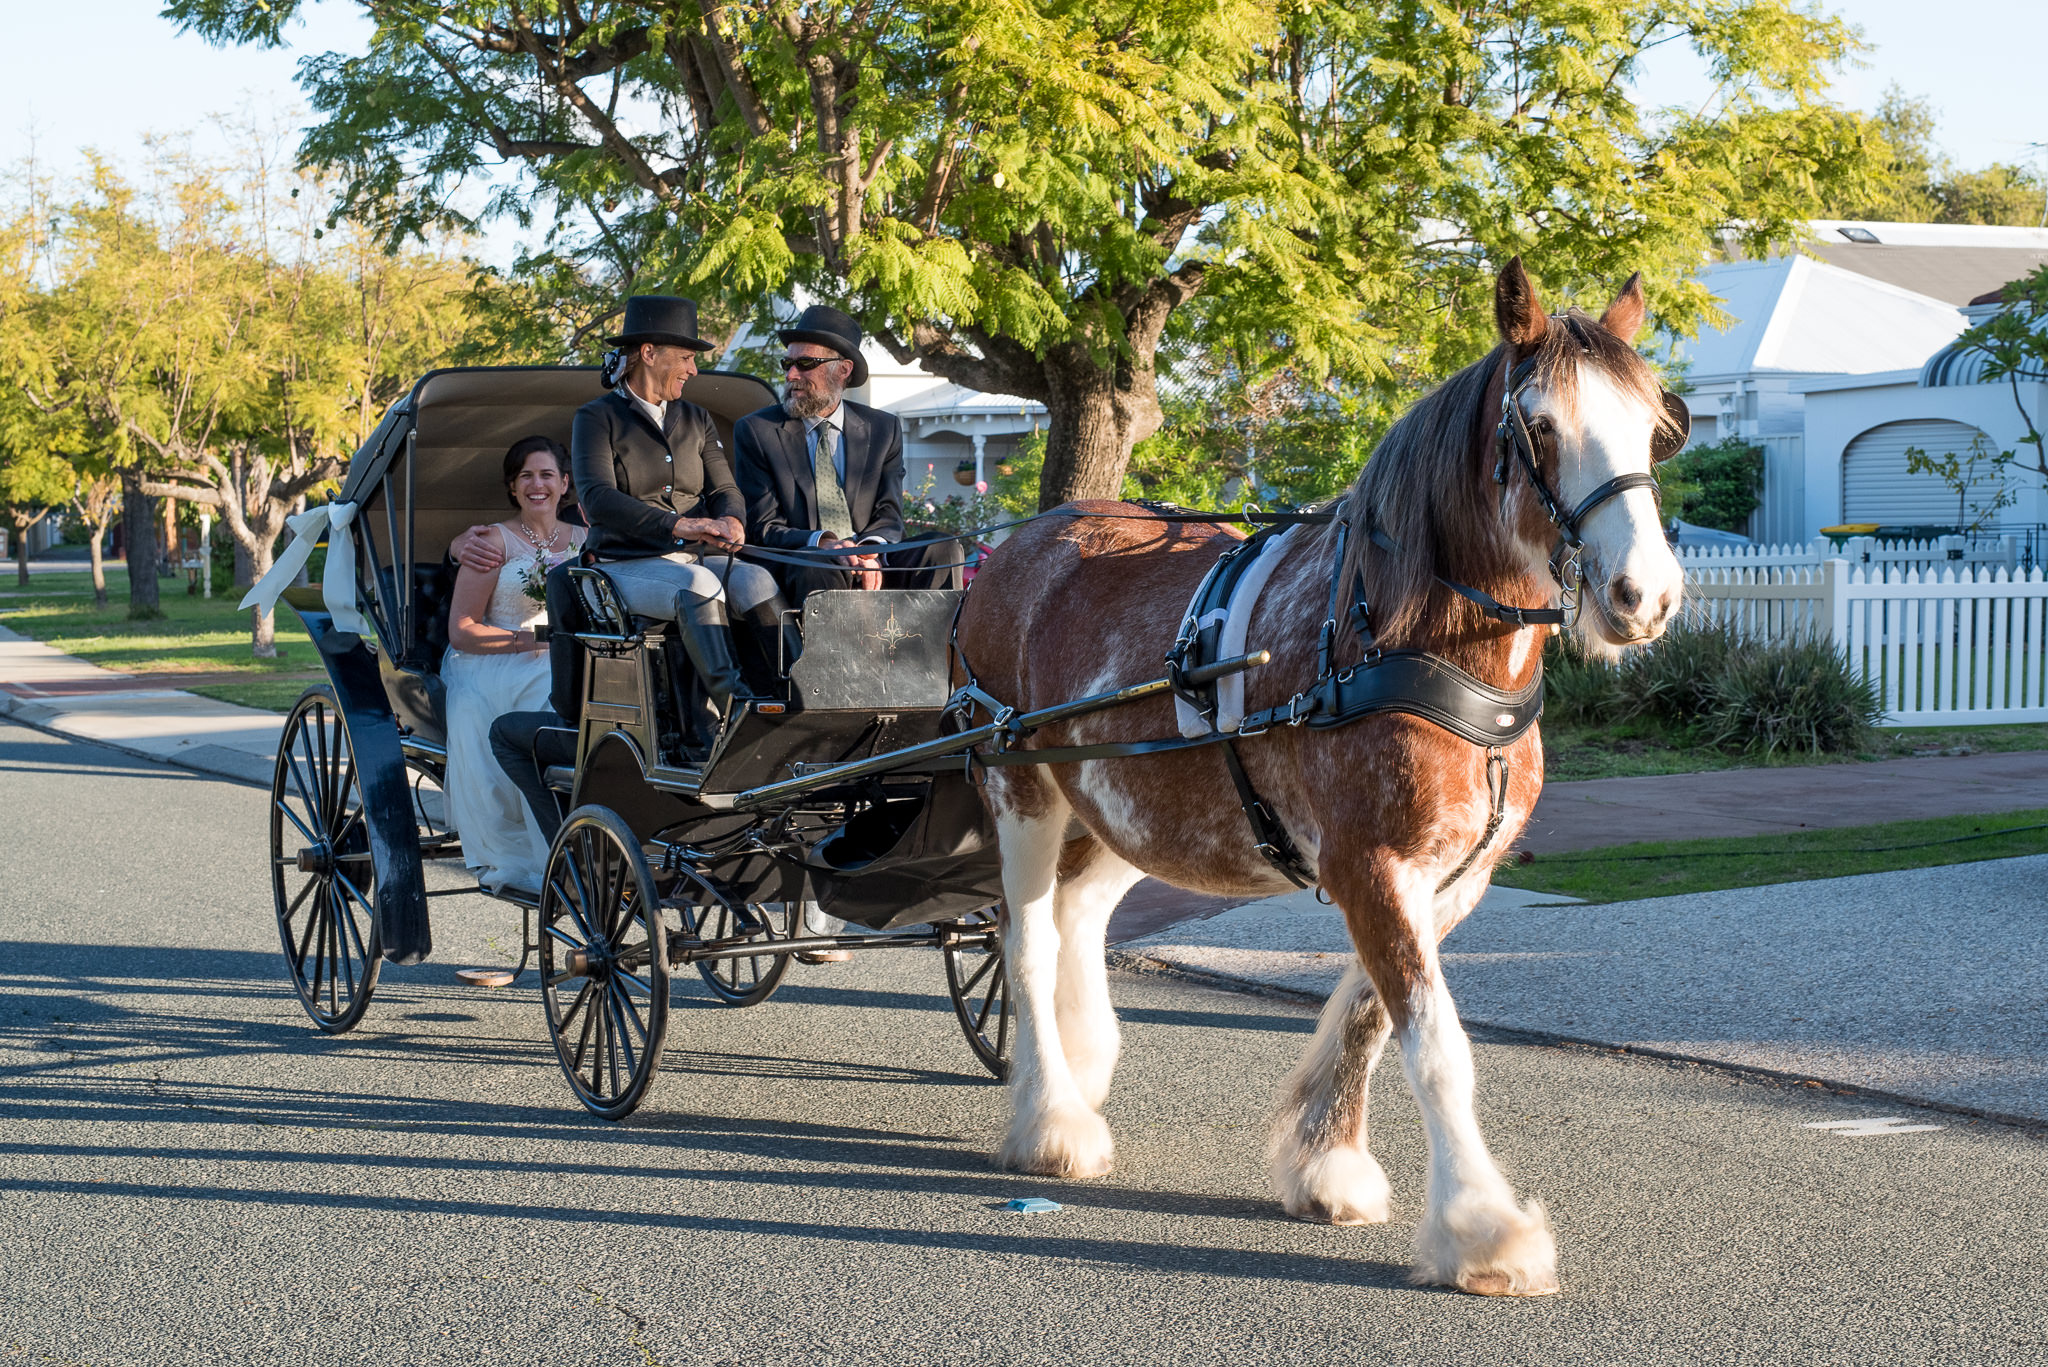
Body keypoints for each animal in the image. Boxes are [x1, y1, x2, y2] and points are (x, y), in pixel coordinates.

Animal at [950, 256, 1687, 1295]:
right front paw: (1483, 1226)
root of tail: (1014, 544)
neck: (1410, 640)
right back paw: (1051, 1117)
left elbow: (1372, 1016)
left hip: (1127, 803)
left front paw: (1326, 1162)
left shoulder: (1451, 876)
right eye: (1538, 426)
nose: (1643, 595)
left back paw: (1080, 1067)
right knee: (1025, 938)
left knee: (1077, 916)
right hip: (1020, 783)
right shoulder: (1371, 865)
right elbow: (1436, 1041)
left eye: (1657, 425)